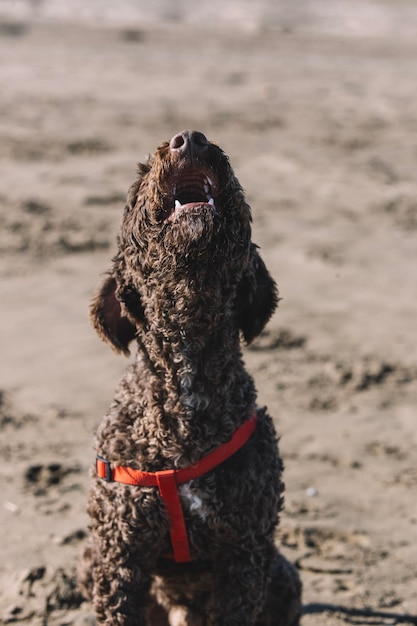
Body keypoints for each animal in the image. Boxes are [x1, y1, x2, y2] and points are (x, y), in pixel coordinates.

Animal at [78, 129, 300, 620]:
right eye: (140, 177)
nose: (191, 138)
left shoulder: (245, 556)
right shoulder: (118, 558)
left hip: (283, 577)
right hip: (88, 562)